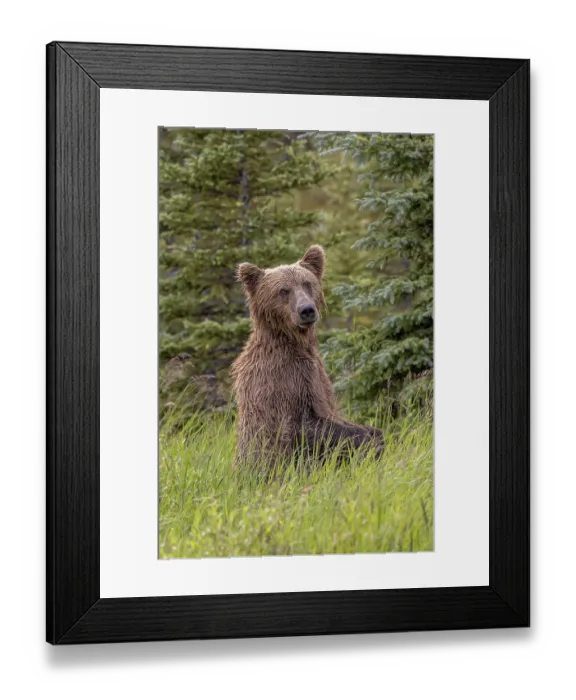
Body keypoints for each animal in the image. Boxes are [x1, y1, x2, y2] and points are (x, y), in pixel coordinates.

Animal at [231, 244, 383, 468]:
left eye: (307, 283)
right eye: (283, 290)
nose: (307, 310)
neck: (294, 342)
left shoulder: (316, 375)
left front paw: (375, 434)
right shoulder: (283, 381)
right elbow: (303, 426)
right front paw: (368, 438)